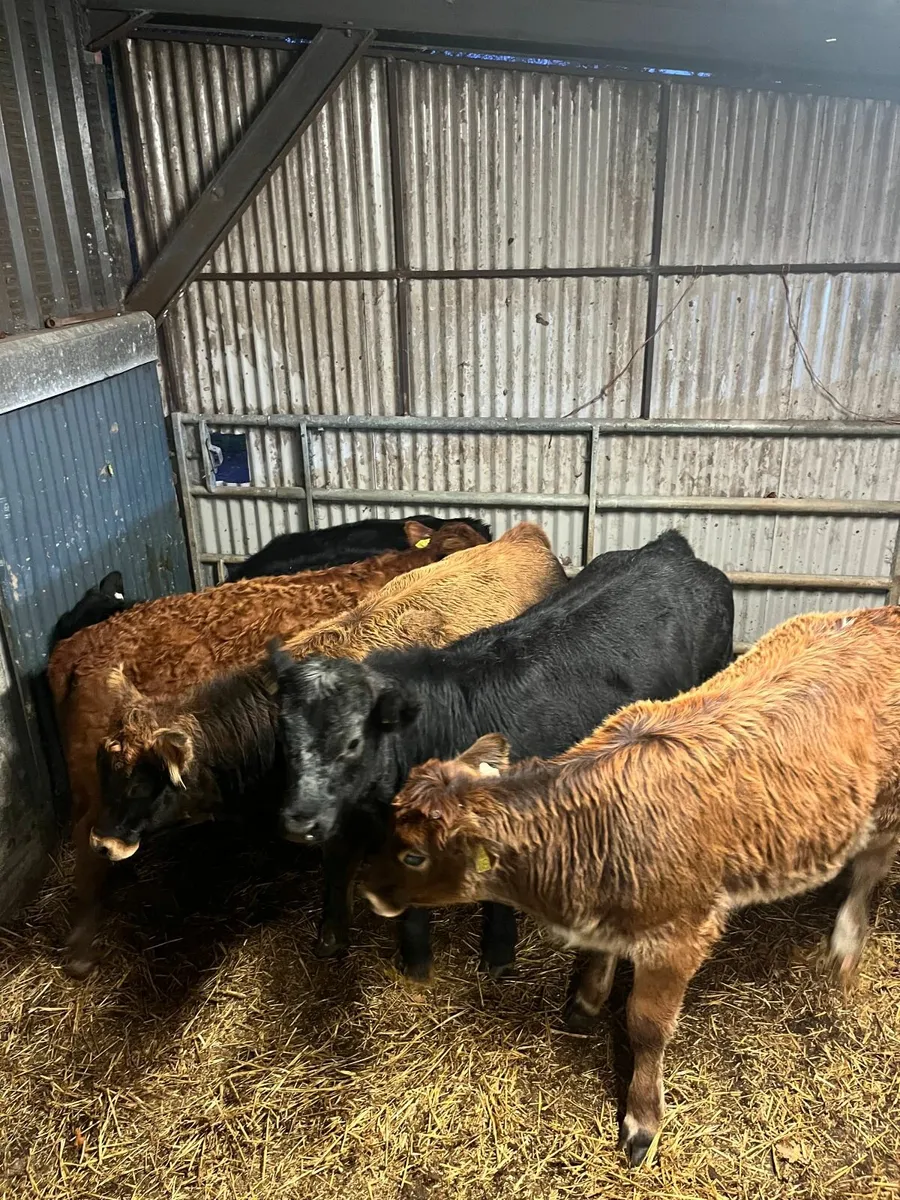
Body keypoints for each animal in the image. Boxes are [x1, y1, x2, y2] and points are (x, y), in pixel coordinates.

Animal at [273, 530, 734, 980]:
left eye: (353, 742)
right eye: (285, 735)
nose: (299, 822)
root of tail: (668, 548)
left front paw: (497, 955)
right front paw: (416, 963)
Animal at [360, 607, 900, 1165]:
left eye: (414, 854)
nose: (368, 890)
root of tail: (878, 613)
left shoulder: (679, 936)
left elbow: (645, 1026)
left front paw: (642, 1121)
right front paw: (586, 1002)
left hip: (887, 805)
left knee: (871, 867)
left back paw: (845, 945)